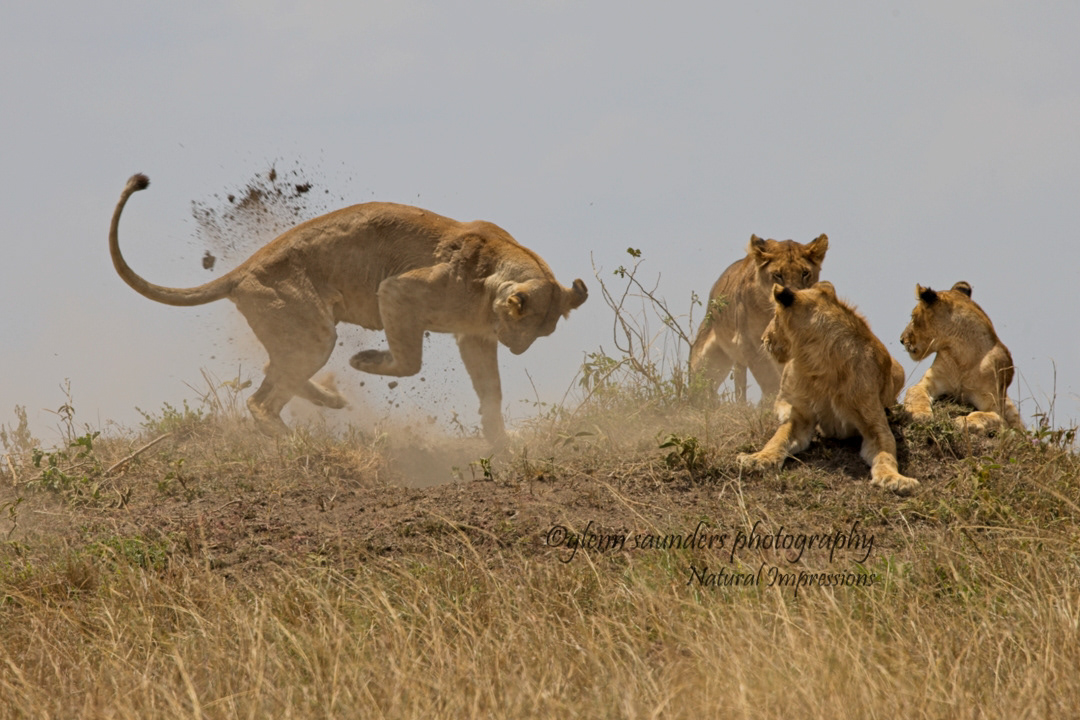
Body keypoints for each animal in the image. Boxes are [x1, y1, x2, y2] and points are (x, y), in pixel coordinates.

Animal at [109, 174, 588, 442]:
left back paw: (329, 400)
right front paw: (364, 361)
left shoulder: (474, 337)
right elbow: (409, 361)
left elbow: (491, 393)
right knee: (261, 402)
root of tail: (240, 271)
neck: (492, 278)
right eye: (520, 321)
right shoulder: (397, 291)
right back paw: (302, 443)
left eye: (542, 334)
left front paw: (499, 442)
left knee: (271, 373)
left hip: (300, 336)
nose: (518, 350)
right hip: (315, 332)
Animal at [689, 234, 828, 403]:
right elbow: (767, 377)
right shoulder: (749, 342)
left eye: (805, 273)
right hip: (703, 362)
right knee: (700, 388)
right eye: (778, 275)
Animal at [737, 282, 918, 495]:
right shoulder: (800, 418)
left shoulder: (875, 425)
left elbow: (886, 452)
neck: (821, 365)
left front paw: (895, 479)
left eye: (775, 316)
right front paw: (756, 459)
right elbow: (778, 438)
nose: (763, 339)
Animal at [900, 281, 1023, 433]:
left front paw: (965, 421)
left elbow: (986, 415)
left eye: (912, 316)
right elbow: (915, 392)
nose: (901, 339)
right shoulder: (928, 382)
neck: (961, 358)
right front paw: (920, 414)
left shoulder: (997, 409)